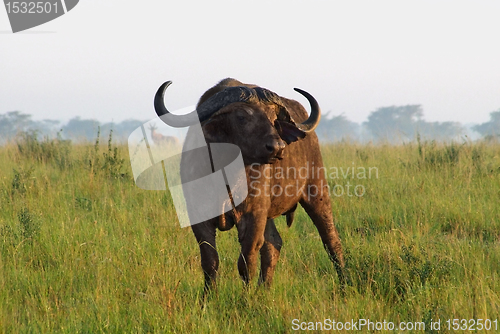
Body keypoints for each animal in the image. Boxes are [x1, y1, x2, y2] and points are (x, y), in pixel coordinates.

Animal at [154, 78, 346, 292]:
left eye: (273, 118)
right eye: (242, 117)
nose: (277, 147)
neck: (225, 176)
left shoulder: (253, 215)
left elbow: (246, 263)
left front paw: (246, 297)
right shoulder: (199, 216)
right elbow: (210, 261)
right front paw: (209, 296)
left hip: (317, 190)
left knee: (331, 240)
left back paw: (345, 285)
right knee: (273, 244)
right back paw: (265, 289)